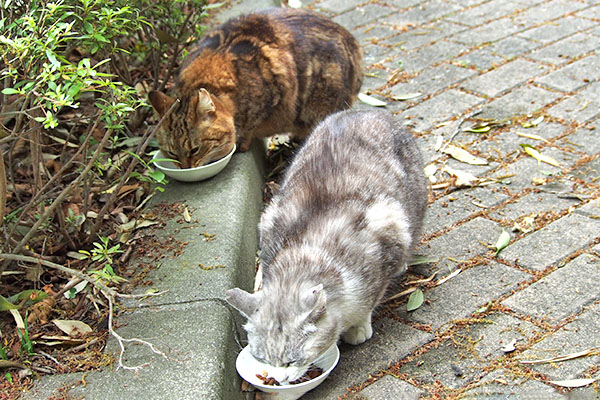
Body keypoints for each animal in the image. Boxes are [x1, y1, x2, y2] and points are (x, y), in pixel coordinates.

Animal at [148, 8, 364, 167]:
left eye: (195, 150)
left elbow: (252, 126)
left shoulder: (275, 95)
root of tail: (352, 41)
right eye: (171, 153)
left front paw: (243, 141)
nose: (185, 167)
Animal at [225, 109, 426, 384]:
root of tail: (367, 110)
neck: (303, 255)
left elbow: (370, 300)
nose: (279, 380)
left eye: (291, 361)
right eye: (264, 359)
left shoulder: (388, 233)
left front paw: (359, 327)